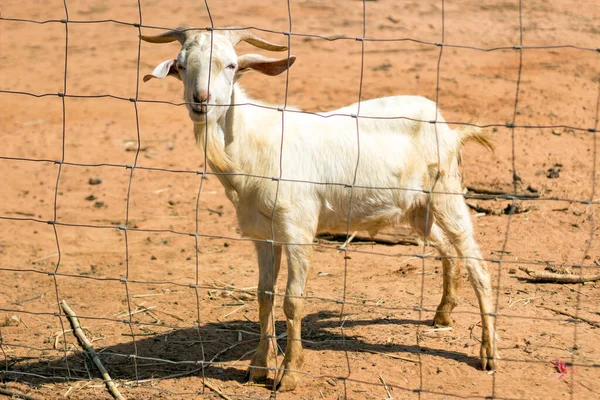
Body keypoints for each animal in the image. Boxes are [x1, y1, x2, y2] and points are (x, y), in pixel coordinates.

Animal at [142, 27, 496, 390]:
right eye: (182, 66)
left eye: (231, 65)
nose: (200, 99)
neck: (250, 146)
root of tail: (448, 127)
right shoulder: (263, 235)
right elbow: (264, 295)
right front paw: (258, 366)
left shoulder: (297, 228)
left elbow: (292, 300)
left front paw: (289, 373)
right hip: (417, 207)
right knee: (447, 249)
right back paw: (443, 314)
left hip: (446, 191)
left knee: (477, 263)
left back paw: (488, 353)